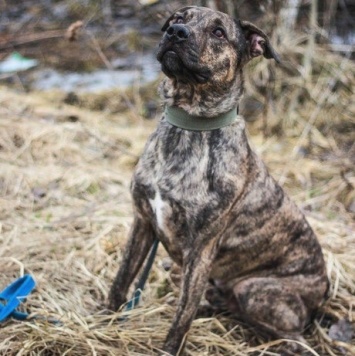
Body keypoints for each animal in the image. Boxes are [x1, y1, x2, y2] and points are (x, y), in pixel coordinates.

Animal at [108, 6, 328, 356]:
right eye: (177, 18)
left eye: (219, 32)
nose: (176, 33)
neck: (188, 125)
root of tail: (325, 291)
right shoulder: (143, 220)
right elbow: (122, 278)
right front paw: (103, 318)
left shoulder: (201, 249)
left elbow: (182, 316)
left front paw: (170, 346)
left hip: (256, 289)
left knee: (293, 335)